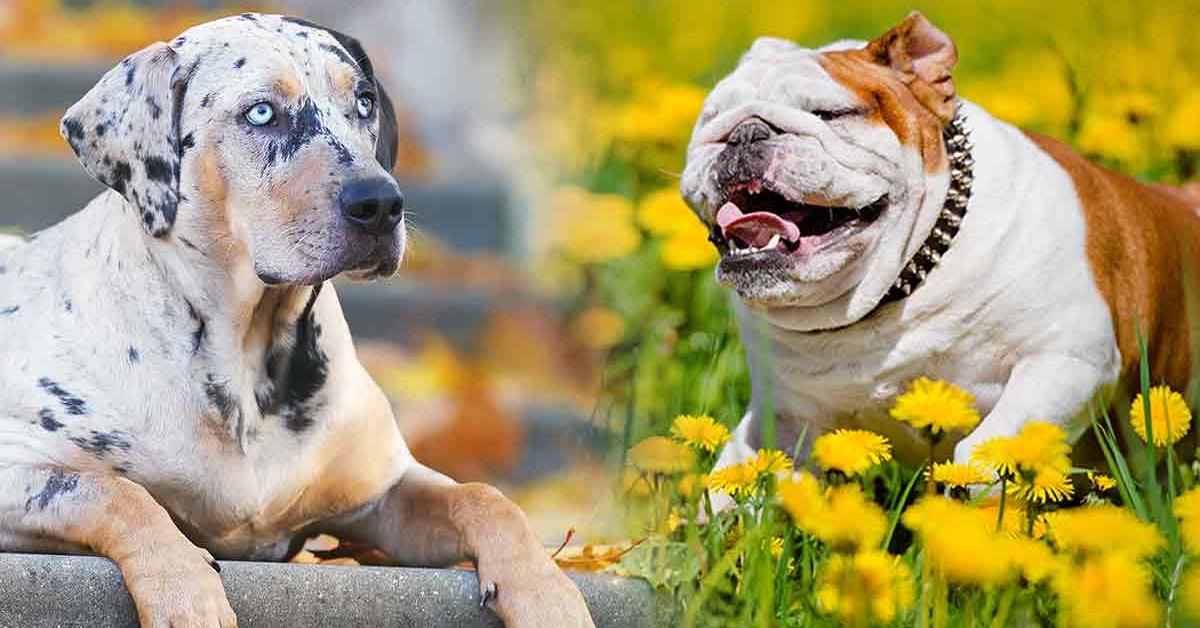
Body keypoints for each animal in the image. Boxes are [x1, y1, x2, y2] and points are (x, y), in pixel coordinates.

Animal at [0, 14, 592, 628]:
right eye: (261, 112)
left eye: (363, 102)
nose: (381, 203)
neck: (249, 354)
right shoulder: (18, 470)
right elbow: (117, 494)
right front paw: (184, 590)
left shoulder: (384, 491)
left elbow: (483, 496)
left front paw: (546, 591)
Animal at [681, 13, 1200, 487]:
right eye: (710, 119)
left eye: (830, 114)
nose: (744, 133)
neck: (903, 280)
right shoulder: (785, 416)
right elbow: (735, 476)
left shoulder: (1067, 358)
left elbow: (987, 448)